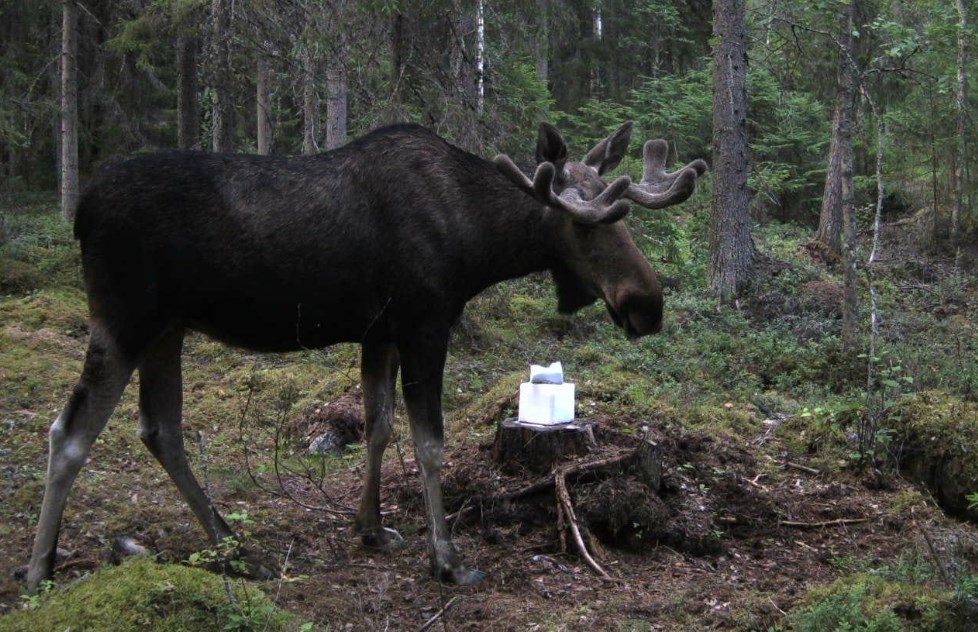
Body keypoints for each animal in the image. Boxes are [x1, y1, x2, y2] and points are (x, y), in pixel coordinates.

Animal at [26, 121, 706, 590]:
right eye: (586, 225)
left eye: (624, 218)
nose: (648, 305)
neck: (478, 243)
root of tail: (80, 211)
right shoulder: (426, 323)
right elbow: (429, 442)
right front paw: (447, 559)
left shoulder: (379, 333)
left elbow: (378, 425)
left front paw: (372, 527)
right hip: (124, 320)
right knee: (70, 432)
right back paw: (39, 569)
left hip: (167, 329)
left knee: (159, 429)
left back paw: (232, 546)